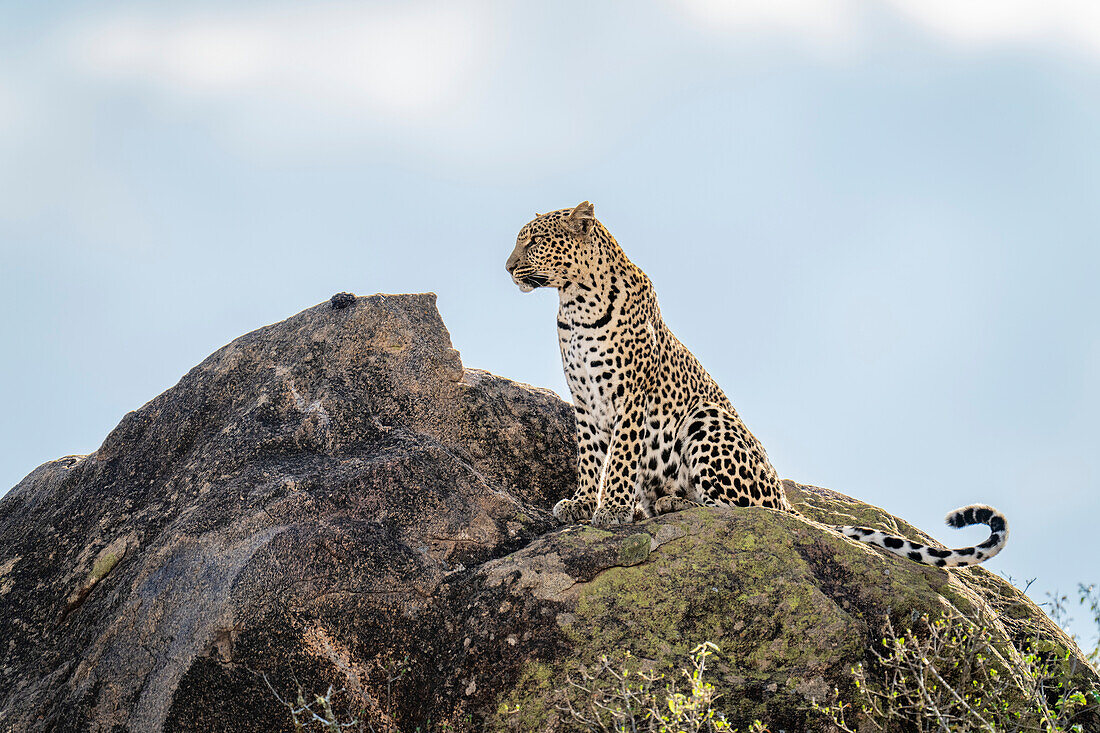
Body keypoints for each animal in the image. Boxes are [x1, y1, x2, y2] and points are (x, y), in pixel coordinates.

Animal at [503, 202, 1007, 567]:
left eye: (533, 242)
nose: (507, 267)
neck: (574, 304)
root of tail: (785, 500)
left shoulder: (632, 399)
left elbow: (622, 458)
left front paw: (609, 510)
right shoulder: (585, 402)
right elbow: (590, 458)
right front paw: (581, 504)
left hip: (707, 420)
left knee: (737, 510)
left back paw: (670, 506)